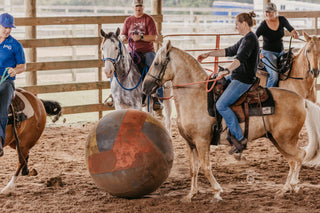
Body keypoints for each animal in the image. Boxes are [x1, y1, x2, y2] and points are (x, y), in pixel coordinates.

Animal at [142, 40, 320, 202]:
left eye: (157, 63)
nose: (145, 88)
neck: (195, 95)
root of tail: (302, 100)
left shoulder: (202, 141)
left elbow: (205, 167)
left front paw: (217, 192)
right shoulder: (190, 143)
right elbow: (193, 168)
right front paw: (191, 194)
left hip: (286, 140)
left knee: (300, 156)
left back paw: (294, 185)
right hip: (276, 139)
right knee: (292, 161)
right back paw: (284, 190)